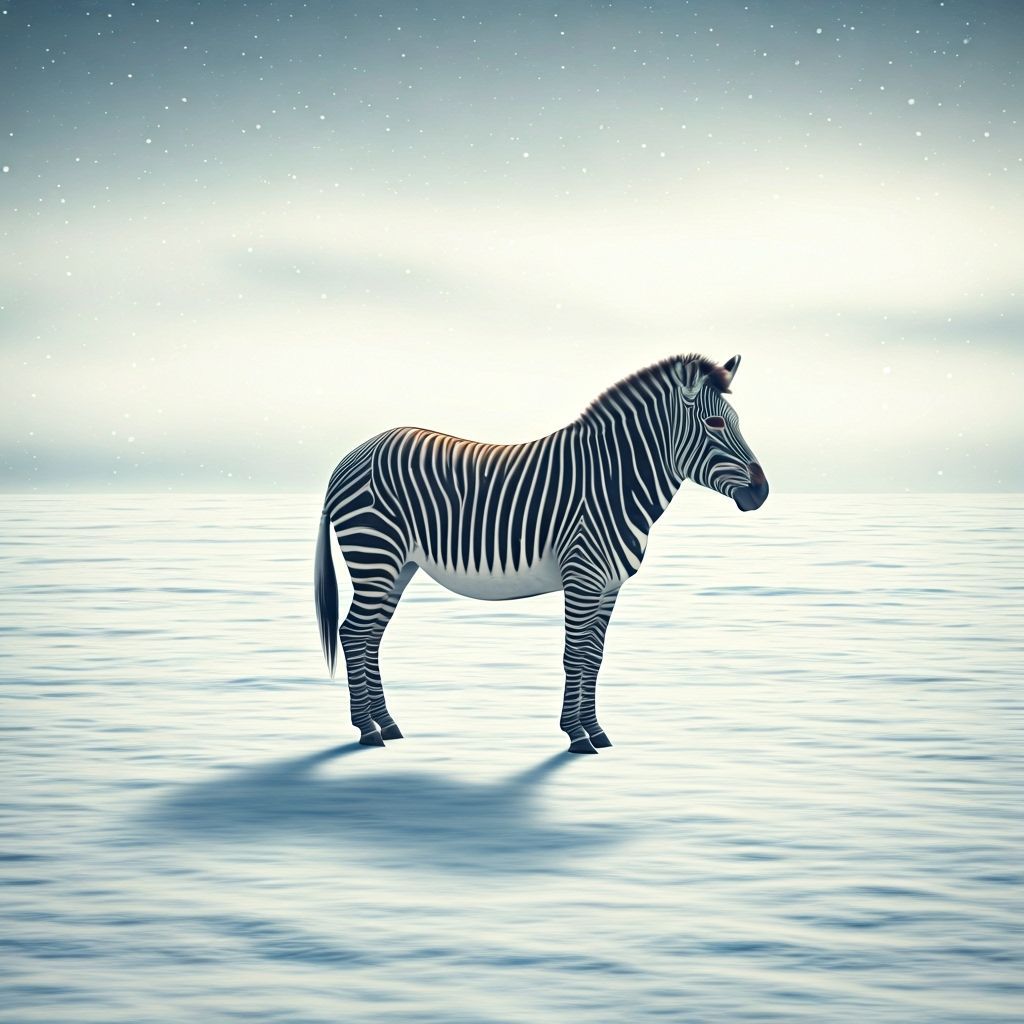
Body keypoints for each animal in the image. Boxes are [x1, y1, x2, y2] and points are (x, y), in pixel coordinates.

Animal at [314, 353, 768, 754]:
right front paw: (577, 736)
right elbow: (575, 655)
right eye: (714, 423)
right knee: (352, 634)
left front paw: (596, 730)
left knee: (370, 637)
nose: (762, 493)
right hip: (374, 553)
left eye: (737, 423)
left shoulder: (609, 586)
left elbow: (594, 657)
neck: (614, 482)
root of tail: (350, 457)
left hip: (398, 566)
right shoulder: (583, 577)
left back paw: (387, 724)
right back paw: (366, 731)